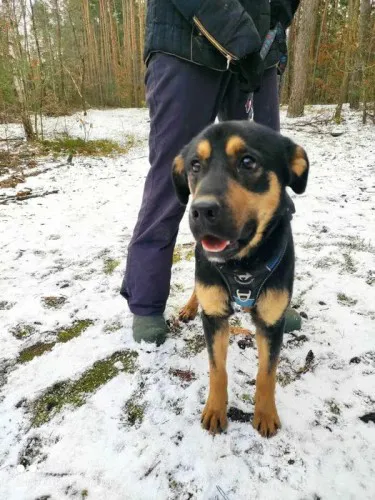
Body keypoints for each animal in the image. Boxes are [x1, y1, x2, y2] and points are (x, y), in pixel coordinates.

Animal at [172, 121, 310, 438]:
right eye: (194, 165)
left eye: (248, 162)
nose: (201, 210)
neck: (243, 264)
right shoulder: (214, 316)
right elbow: (217, 369)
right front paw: (215, 410)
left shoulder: (271, 322)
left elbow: (267, 372)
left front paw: (265, 414)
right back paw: (189, 306)